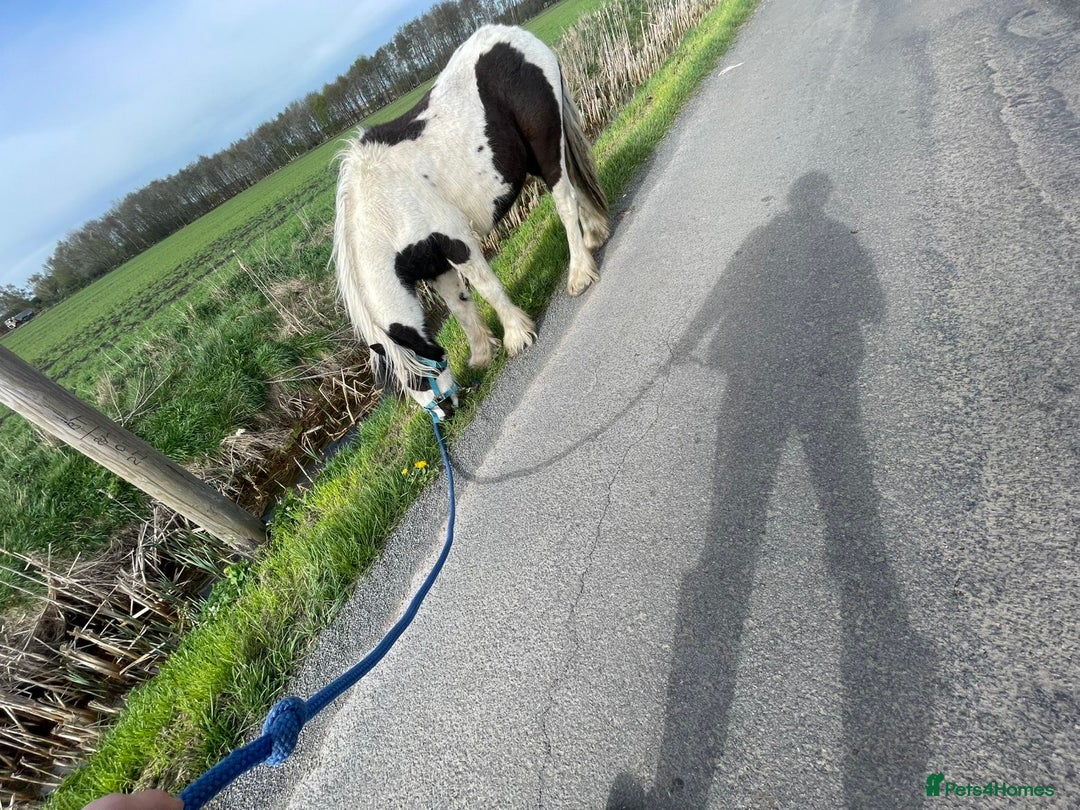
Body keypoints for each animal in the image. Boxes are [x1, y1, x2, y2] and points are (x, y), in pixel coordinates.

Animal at [331, 24, 609, 419]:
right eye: (404, 388)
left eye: (419, 375)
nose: (446, 412)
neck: (387, 208)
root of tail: (516, 37)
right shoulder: (433, 264)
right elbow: (460, 306)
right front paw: (481, 354)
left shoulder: (456, 241)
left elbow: (486, 287)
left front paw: (516, 336)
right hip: (538, 156)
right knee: (575, 183)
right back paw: (596, 235)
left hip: (545, 146)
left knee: (566, 202)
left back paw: (579, 274)